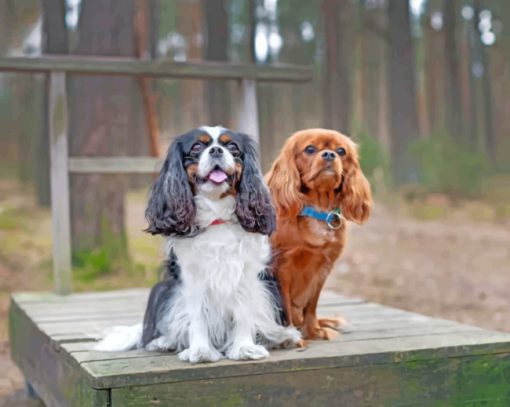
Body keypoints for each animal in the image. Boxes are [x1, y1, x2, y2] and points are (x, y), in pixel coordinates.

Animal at [95, 126, 300, 364]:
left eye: (232, 147)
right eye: (196, 147)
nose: (216, 150)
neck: (217, 216)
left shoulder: (246, 274)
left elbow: (243, 312)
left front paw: (244, 348)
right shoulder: (192, 277)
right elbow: (197, 316)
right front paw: (200, 350)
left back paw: (281, 337)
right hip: (164, 289)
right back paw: (163, 341)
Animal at [266, 128, 370, 342]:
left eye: (341, 151)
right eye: (310, 149)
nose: (329, 154)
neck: (317, 208)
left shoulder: (323, 268)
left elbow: (311, 306)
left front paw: (314, 331)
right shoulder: (281, 267)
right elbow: (285, 306)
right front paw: (293, 335)